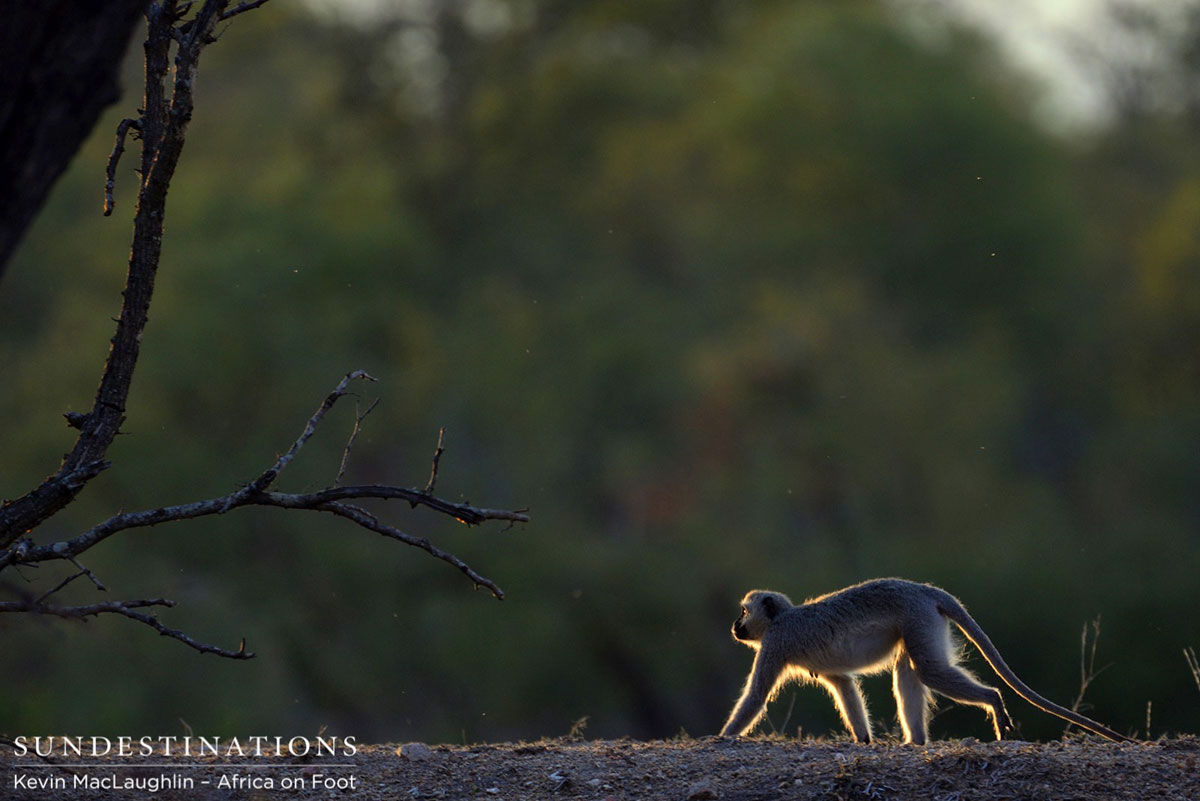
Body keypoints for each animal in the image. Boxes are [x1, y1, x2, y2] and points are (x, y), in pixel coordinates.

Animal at [720, 578, 1129, 744]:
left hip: (917, 616)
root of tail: (925, 590)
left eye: (743, 612)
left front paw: (722, 737)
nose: (735, 626)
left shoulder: (775, 644)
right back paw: (915, 741)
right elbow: (846, 687)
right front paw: (863, 738)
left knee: (928, 671)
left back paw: (994, 700)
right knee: (910, 672)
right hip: (921, 622)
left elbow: (755, 697)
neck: (783, 618)